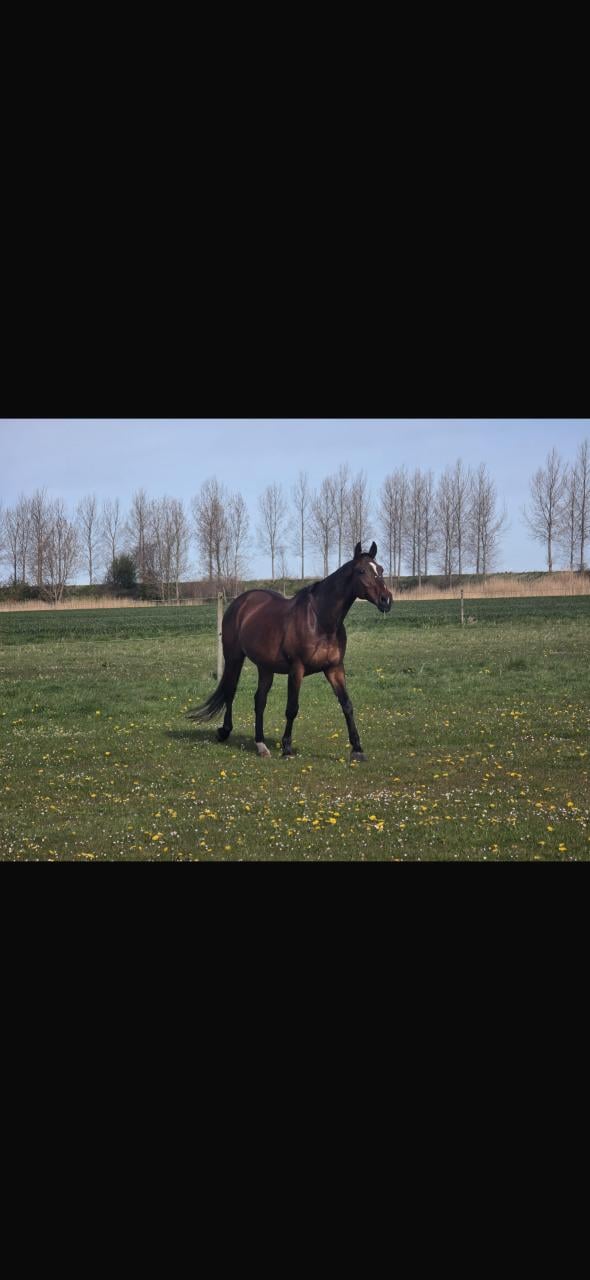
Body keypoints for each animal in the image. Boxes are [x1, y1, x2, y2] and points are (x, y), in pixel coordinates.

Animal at [187, 542, 392, 761]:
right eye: (362, 571)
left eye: (380, 569)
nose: (386, 600)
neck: (320, 620)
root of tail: (240, 602)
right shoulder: (297, 669)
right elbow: (292, 708)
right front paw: (286, 748)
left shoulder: (335, 668)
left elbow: (347, 705)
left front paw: (357, 749)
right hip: (234, 657)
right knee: (230, 691)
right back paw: (225, 731)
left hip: (265, 667)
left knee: (259, 700)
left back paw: (260, 745)